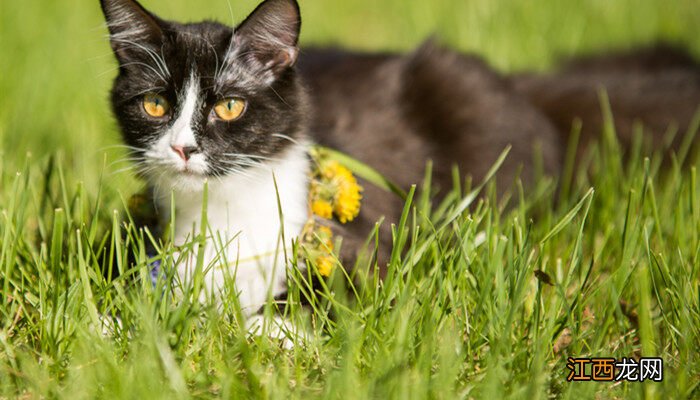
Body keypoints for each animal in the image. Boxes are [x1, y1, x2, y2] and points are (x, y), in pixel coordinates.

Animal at [101, 0, 700, 322]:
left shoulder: (359, 250)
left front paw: (255, 326)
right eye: (155, 104)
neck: (222, 211)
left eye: (229, 105)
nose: (183, 147)